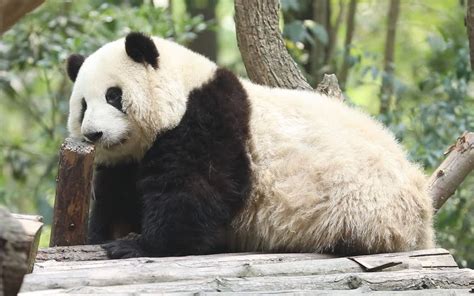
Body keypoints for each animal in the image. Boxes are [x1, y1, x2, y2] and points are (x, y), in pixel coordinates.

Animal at [65, 33, 434, 260]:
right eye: (83, 105)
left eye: (114, 95)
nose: (94, 134)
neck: (184, 88)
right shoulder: (128, 160)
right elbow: (119, 195)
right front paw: (107, 234)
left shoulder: (209, 121)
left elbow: (194, 192)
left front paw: (137, 244)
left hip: (362, 200)